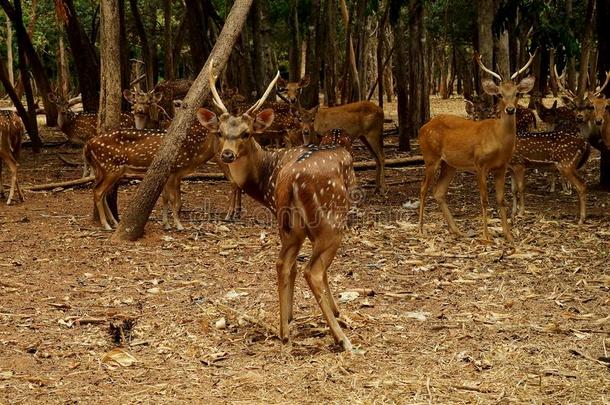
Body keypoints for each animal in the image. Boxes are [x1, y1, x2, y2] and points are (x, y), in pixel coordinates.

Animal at [195, 63, 356, 350]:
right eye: (220, 133)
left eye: (246, 133)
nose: (227, 154)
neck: (265, 175)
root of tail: (291, 178)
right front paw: (335, 314)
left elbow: (290, 267)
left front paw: (292, 316)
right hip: (332, 219)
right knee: (313, 270)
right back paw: (341, 338)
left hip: (292, 224)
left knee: (283, 263)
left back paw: (284, 331)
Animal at [418, 53, 532, 243]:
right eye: (499, 94)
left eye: (517, 93)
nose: (510, 109)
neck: (498, 139)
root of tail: (422, 128)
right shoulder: (480, 164)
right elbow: (484, 200)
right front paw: (486, 236)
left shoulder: (501, 167)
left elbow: (501, 200)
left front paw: (508, 235)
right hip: (430, 157)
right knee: (423, 189)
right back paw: (420, 228)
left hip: (449, 165)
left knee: (438, 192)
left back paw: (457, 231)